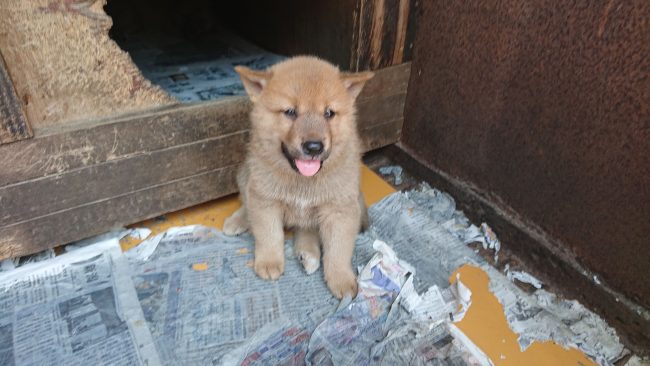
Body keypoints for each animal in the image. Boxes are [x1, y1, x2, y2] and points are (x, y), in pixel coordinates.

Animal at [223, 55, 372, 298]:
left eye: (329, 113)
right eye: (290, 112)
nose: (314, 147)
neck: (302, 180)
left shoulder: (340, 210)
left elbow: (338, 249)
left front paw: (341, 278)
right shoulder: (265, 200)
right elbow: (269, 234)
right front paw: (269, 262)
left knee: (307, 229)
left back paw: (308, 253)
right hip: (246, 176)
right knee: (247, 201)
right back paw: (238, 221)